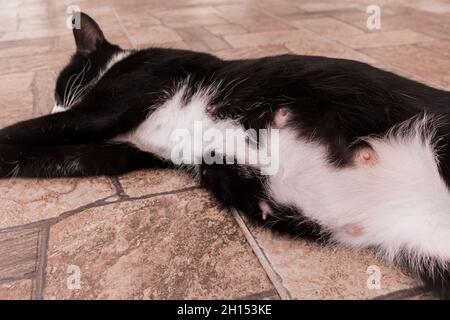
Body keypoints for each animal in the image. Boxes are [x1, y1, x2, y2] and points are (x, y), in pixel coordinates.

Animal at [0, 11, 450, 298]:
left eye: (62, 85)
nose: (57, 102)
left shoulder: (112, 103)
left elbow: (35, 127)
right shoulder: (121, 152)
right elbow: (54, 155)